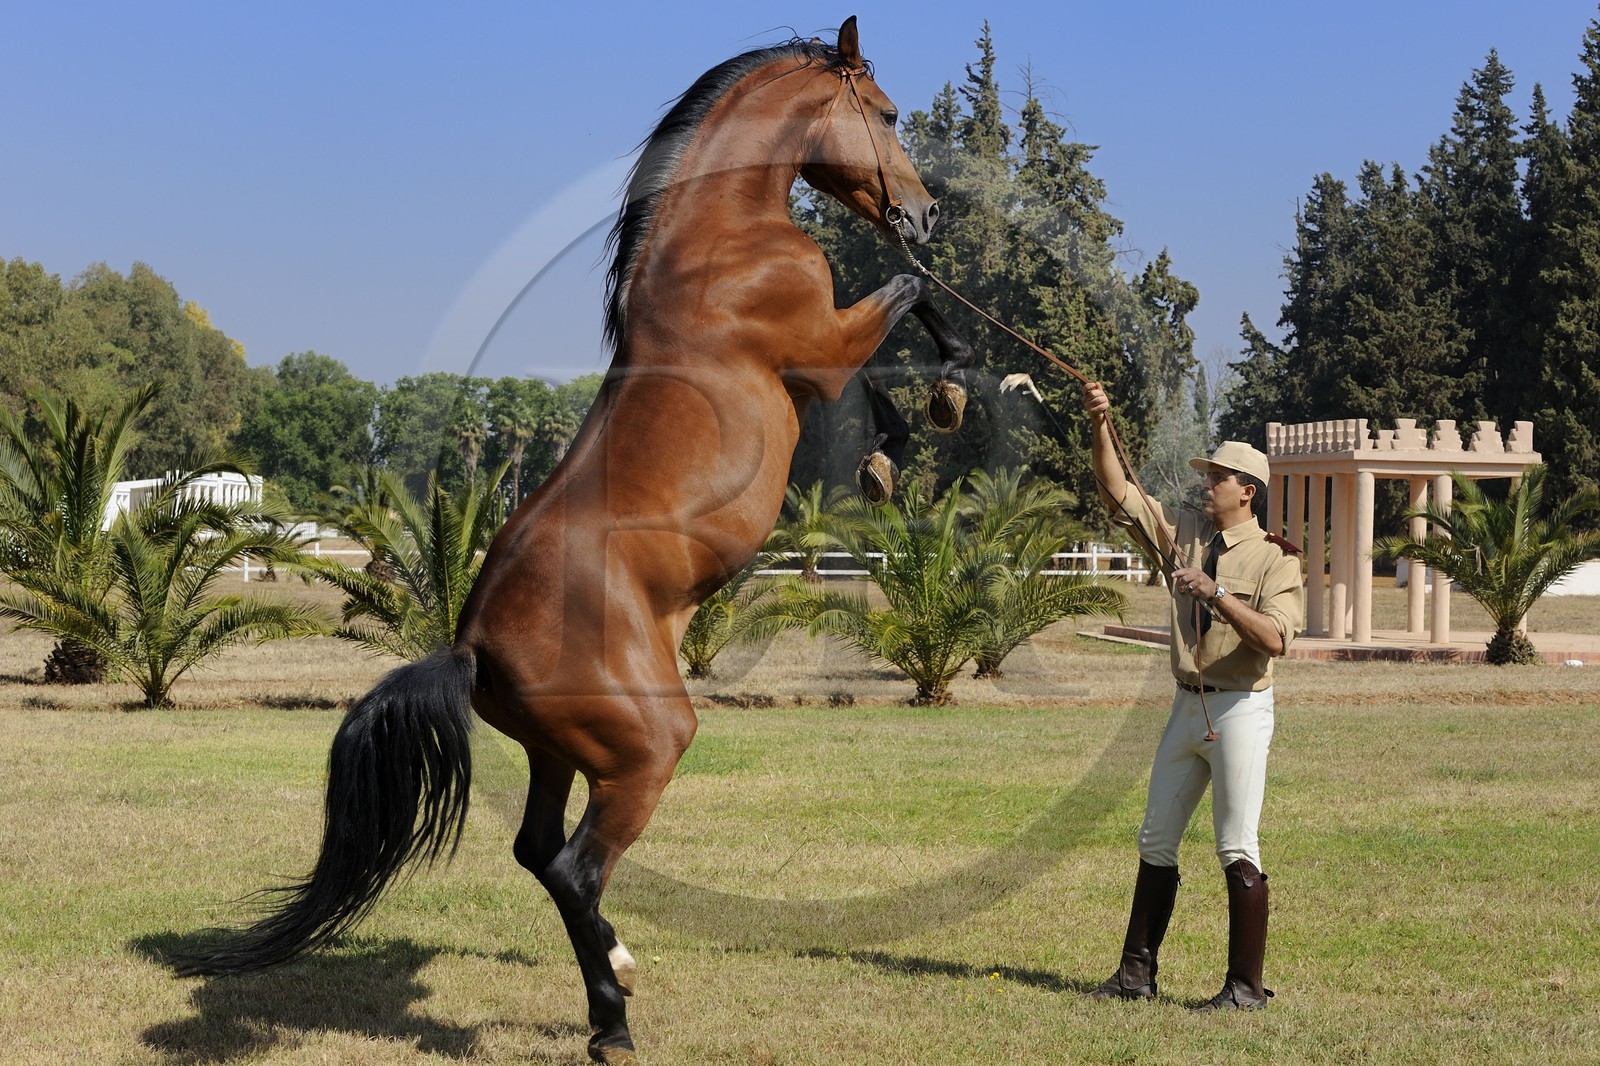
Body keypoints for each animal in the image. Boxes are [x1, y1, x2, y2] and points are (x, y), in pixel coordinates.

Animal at [175, 17, 974, 1063]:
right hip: (647, 748)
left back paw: (615, 976)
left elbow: (901, 323)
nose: (924, 213)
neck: (720, 240)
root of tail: (471, 647)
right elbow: (909, 301)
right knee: (575, 869)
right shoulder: (824, 353)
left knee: (538, 852)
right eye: (884, 113)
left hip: (563, 753)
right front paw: (937, 401)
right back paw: (614, 1016)